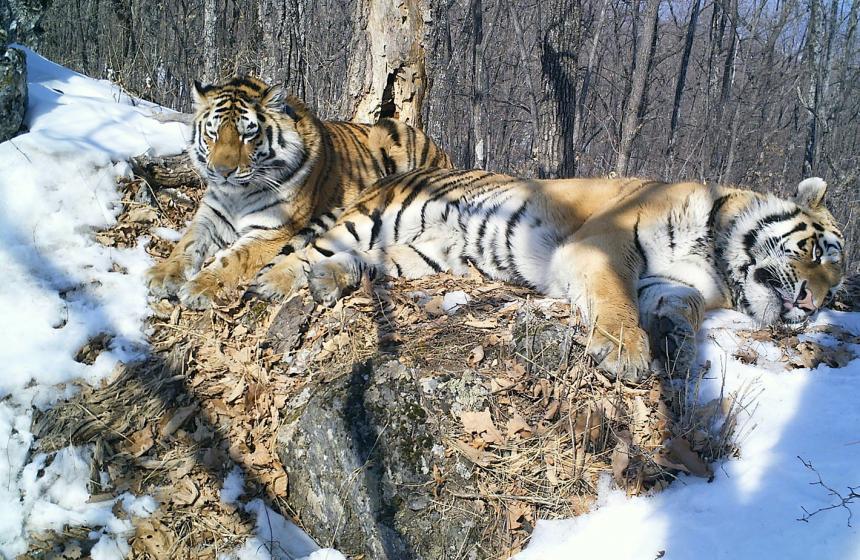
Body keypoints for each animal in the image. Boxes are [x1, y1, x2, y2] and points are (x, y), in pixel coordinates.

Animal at [149, 75, 454, 308]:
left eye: (248, 134)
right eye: (212, 133)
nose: (222, 172)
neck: (237, 194)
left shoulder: (272, 231)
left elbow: (233, 260)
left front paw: (199, 287)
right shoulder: (210, 216)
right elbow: (186, 244)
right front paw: (161, 275)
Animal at [245, 168, 844, 382]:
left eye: (836, 286)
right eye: (817, 252)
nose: (812, 305)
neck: (715, 256)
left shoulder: (674, 283)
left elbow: (681, 308)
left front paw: (674, 343)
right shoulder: (603, 245)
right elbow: (615, 299)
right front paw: (626, 353)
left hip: (420, 255)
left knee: (361, 264)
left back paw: (328, 281)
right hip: (375, 218)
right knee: (303, 251)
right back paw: (273, 283)